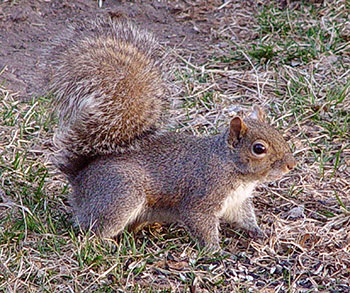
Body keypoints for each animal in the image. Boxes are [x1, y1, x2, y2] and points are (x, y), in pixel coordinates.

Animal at [49, 17, 296, 249]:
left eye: (277, 133)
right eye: (259, 148)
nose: (290, 165)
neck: (232, 167)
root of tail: (80, 179)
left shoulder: (236, 202)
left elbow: (244, 218)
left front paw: (260, 232)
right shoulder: (202, 197)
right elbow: (200, 222)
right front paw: (215, 250)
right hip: (121, 194)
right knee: (93, 230)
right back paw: (106, 242)